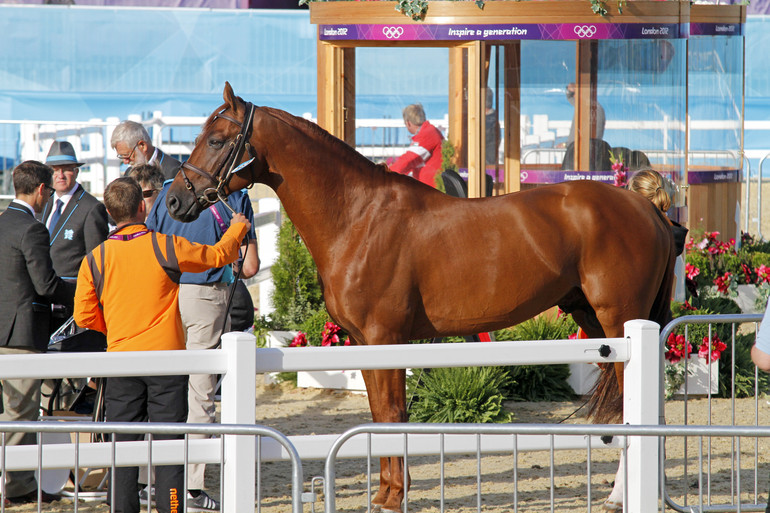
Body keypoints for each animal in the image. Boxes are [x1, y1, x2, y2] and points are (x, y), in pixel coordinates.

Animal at [166, 82, 672, 510]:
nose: (174, 202)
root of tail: (645, 207)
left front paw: (393, 496)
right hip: (594, 322)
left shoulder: (385, 336)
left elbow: (391, 413)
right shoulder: (364, 342)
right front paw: (386, 492)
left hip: (619, 319)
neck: (358, 215)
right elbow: (378, 414)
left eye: (217, 140)